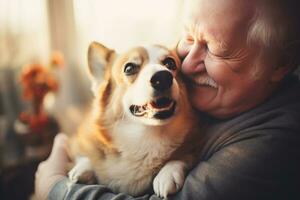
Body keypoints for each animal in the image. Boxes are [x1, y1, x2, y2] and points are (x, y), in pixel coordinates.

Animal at [69, 42, 200, 198]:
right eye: (129, 68)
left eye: (170, 63)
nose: (162, 77)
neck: (147, 136)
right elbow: (85, 154)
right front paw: (84, 168)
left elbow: (185, 153)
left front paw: (167, 173)